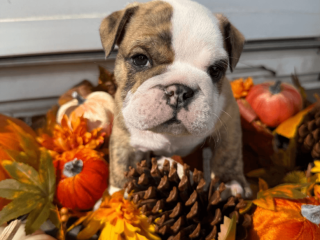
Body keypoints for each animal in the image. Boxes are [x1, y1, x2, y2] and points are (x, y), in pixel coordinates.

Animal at [100, 0, 252, 197]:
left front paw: (231, 182)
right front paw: (119, 194)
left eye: (215, 70)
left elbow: (228, 152)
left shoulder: (229, 120)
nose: (179, 91)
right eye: (140, 59)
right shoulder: (123, 133)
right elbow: (122, 162)